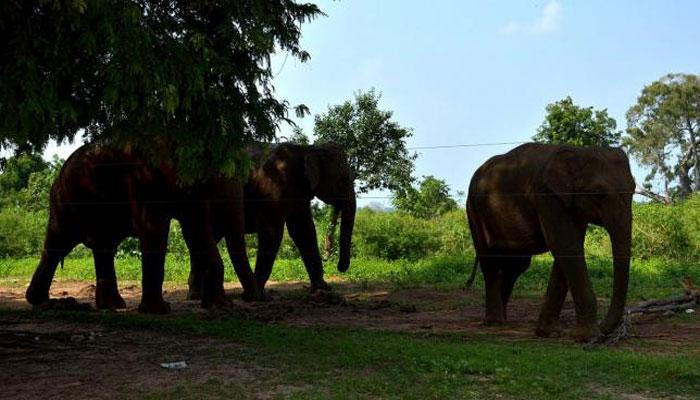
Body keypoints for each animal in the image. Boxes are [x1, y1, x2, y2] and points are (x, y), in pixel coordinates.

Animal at [26, 143, 264, 312]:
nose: (251, 299)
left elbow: (196, 230)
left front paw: (219, 306)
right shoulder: (144, 180)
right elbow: (155, 230)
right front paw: (159, 311)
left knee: (103, 247)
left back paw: (112, 306)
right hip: (65, 202)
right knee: (59, 242)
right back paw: (39, 301)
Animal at [186, 142, 356, 298]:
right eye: (342, 181)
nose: (339, 267)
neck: (307, 149)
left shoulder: (299, 194)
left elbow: (304, 231)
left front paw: (323, 289)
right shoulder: (273, 188)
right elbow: (273, 232)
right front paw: (259, 294)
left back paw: (195, 295)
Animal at [468, 144, 636, 340]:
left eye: (633, 190)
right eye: (599, 194)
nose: (603, 330)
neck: (578, 151)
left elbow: (569, 248)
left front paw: (550, 333)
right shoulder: (547, 195)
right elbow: (566, 245)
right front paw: (589, 337)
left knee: (516, 265)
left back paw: (503, 318)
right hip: (473, 209)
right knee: (490, 260)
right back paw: (495, 322)